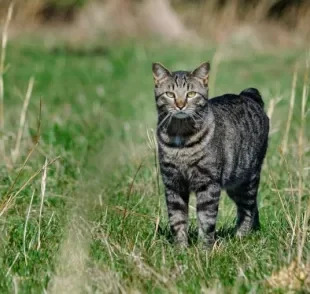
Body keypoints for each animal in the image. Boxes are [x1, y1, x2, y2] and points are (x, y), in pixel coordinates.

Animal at [153, 62, 268, 248]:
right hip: (234, 184)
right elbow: (177, 220)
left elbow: (206, 220)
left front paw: (204, 250)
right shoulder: (173, 184)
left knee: (248, 208)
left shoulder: (208, 183)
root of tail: (247, 94)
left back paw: (241, 236)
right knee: (253, 207)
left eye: (191, 94)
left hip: (247, 179)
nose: (180, 105)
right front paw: (180, 249)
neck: (181, 138)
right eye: (170, 94)